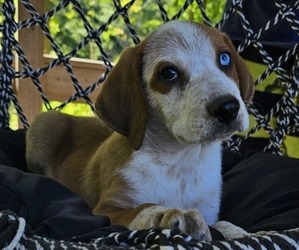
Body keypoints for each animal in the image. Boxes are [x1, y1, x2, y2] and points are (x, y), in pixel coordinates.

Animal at [26, 21, 255, 240]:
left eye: (225, 58)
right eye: (169, 73)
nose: (228, 108)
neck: (180, 162)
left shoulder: (209, 211)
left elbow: (221, 224)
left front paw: (242, 232)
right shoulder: (104, 211)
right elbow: (141, 209)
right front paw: (167, 214)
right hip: (45, 123)